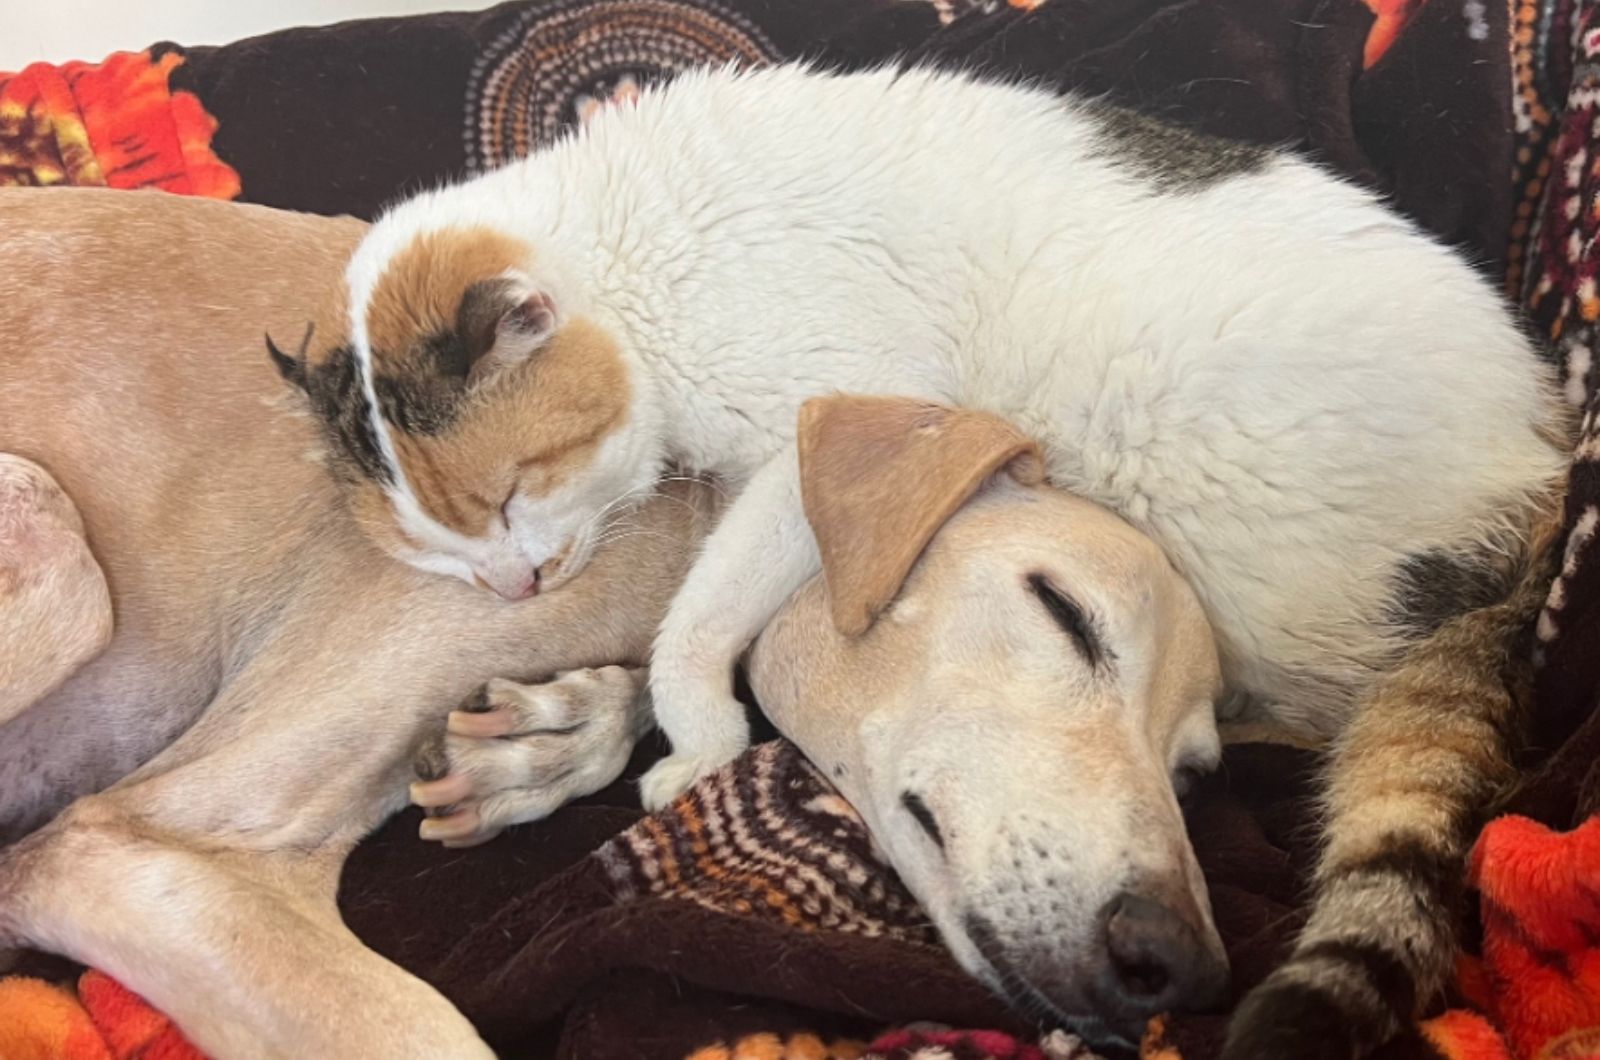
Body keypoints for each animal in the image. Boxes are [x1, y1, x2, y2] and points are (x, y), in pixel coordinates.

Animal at [0, 188, 1235, 1056]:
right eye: (1062, 609)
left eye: (1196, 772)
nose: (1179, 964)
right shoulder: (148, 857)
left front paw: (546, 741)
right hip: (57, 552)